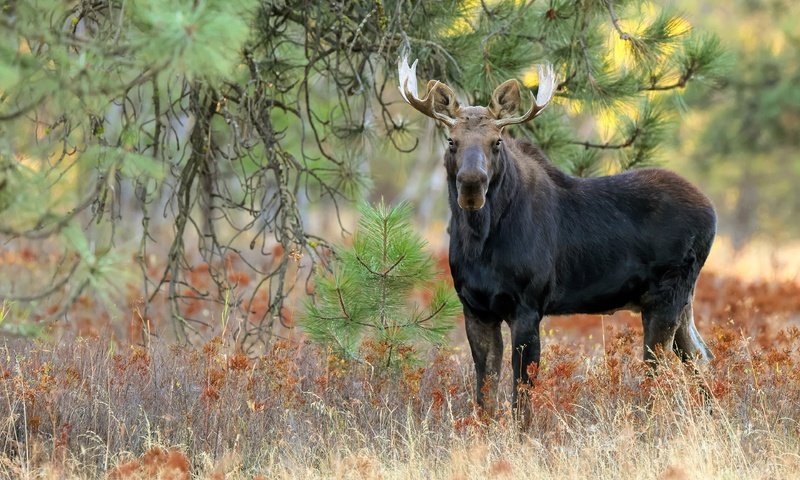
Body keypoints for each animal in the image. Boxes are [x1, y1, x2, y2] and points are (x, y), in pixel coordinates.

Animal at [396, 57, 716, 420]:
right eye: (451, 140)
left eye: (497, 141)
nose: (472, 184)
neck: (480, 243)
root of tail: (712, 213)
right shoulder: (476, 308)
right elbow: (485, 394)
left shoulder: (528, 305)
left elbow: (522, 395)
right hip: (679, 300)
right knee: (700, 355)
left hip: (666, 296)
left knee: (657, 371)